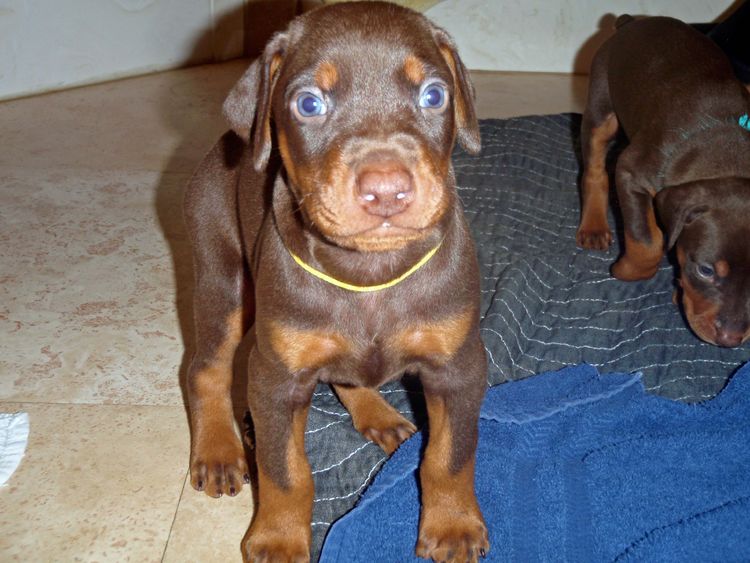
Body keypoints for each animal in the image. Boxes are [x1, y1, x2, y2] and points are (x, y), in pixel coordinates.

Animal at [181, 2, 488, 560]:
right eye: (309, 103)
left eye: (434, 95)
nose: (386, 190)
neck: (369, 275)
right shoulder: (275, 378)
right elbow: (286, 472)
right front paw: (279, 539)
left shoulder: (458, 364)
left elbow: (450, 455)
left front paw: (453, 526)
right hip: (221, 276)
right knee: (205, 368)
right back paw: (217, 449)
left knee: (347, 374)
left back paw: (378, 414)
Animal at [580, 14, 750, 348]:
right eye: (706, 270)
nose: (731, 339)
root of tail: (633, 20)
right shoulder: (631, 173)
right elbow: (648, 242)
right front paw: (626, 270)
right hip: (601, 105)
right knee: (594, 169)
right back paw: (593, 226)